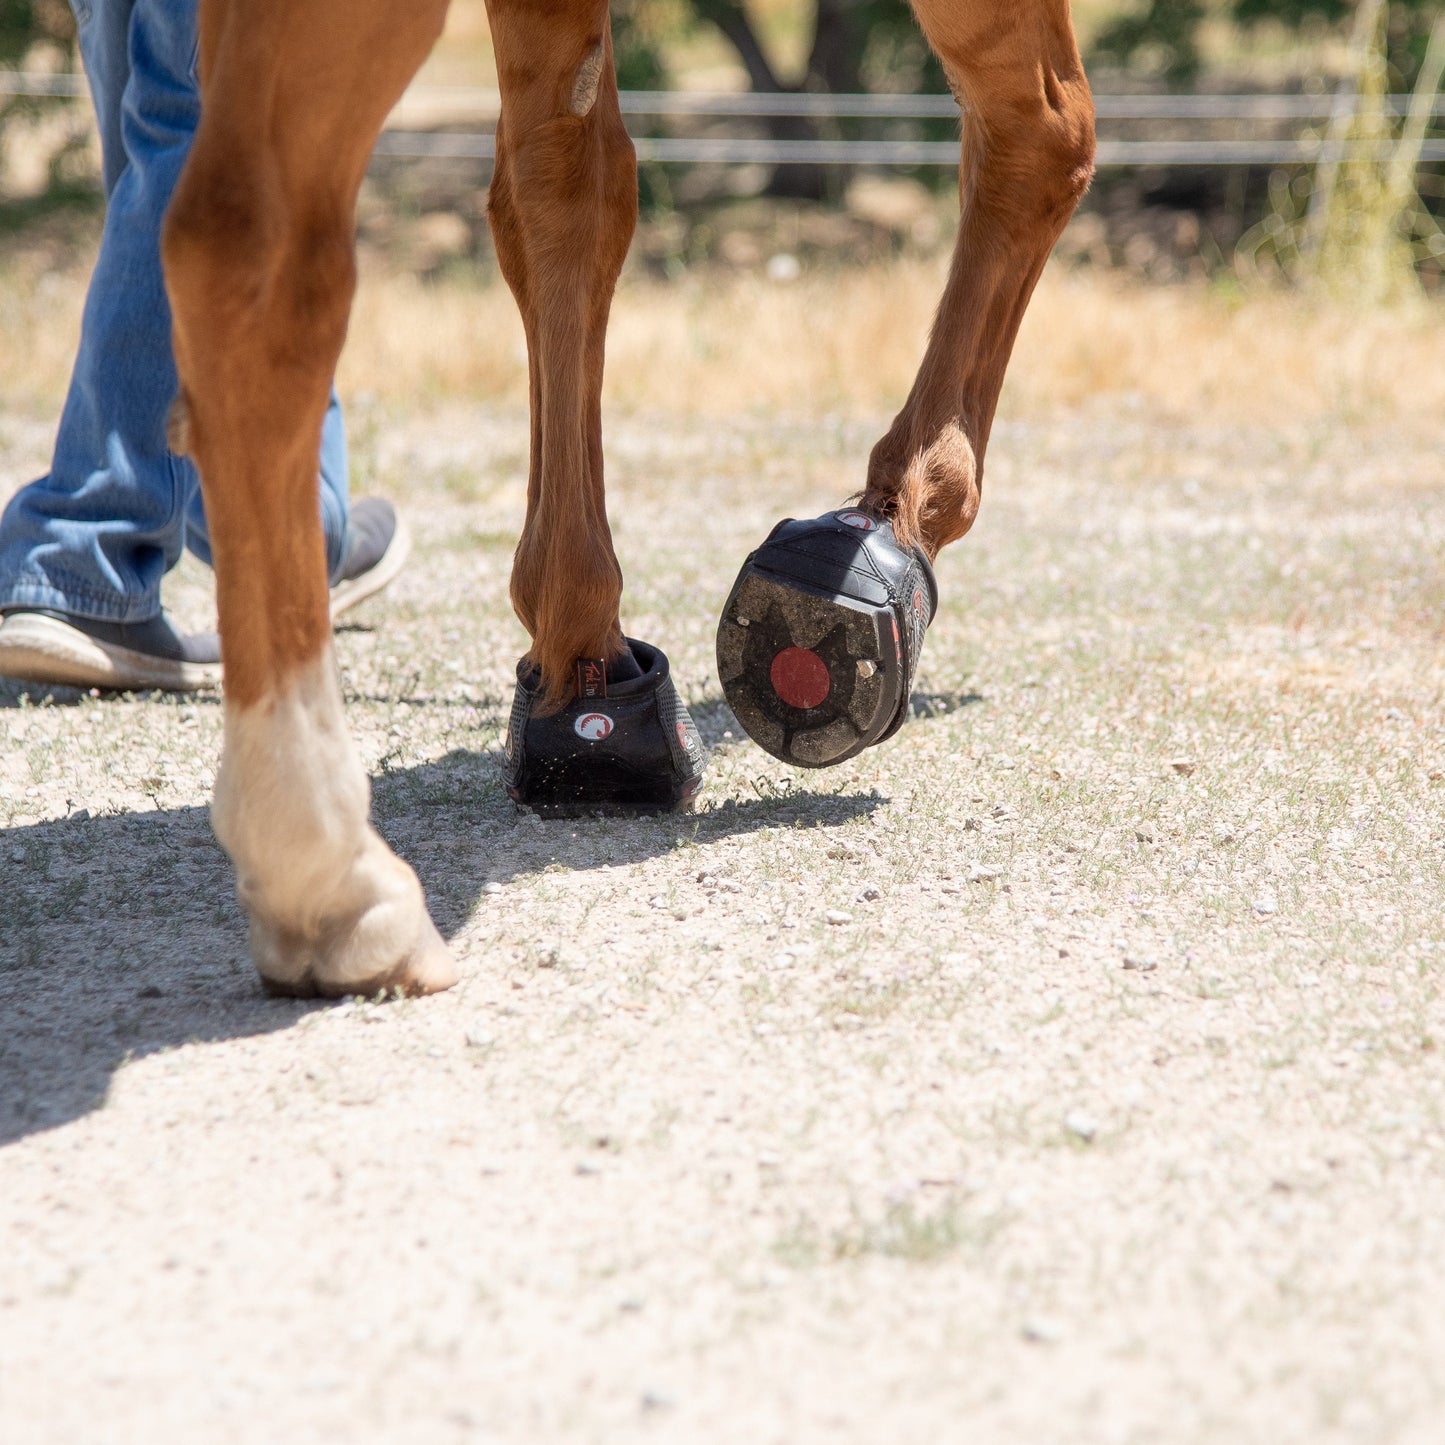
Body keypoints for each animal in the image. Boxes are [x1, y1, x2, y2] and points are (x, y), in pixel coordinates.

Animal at [159, 0, 1095, 997]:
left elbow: (568, 187)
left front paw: (579, 647)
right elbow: (1044, 132)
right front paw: (908, 509)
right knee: (257, 259)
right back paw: (327, 870)